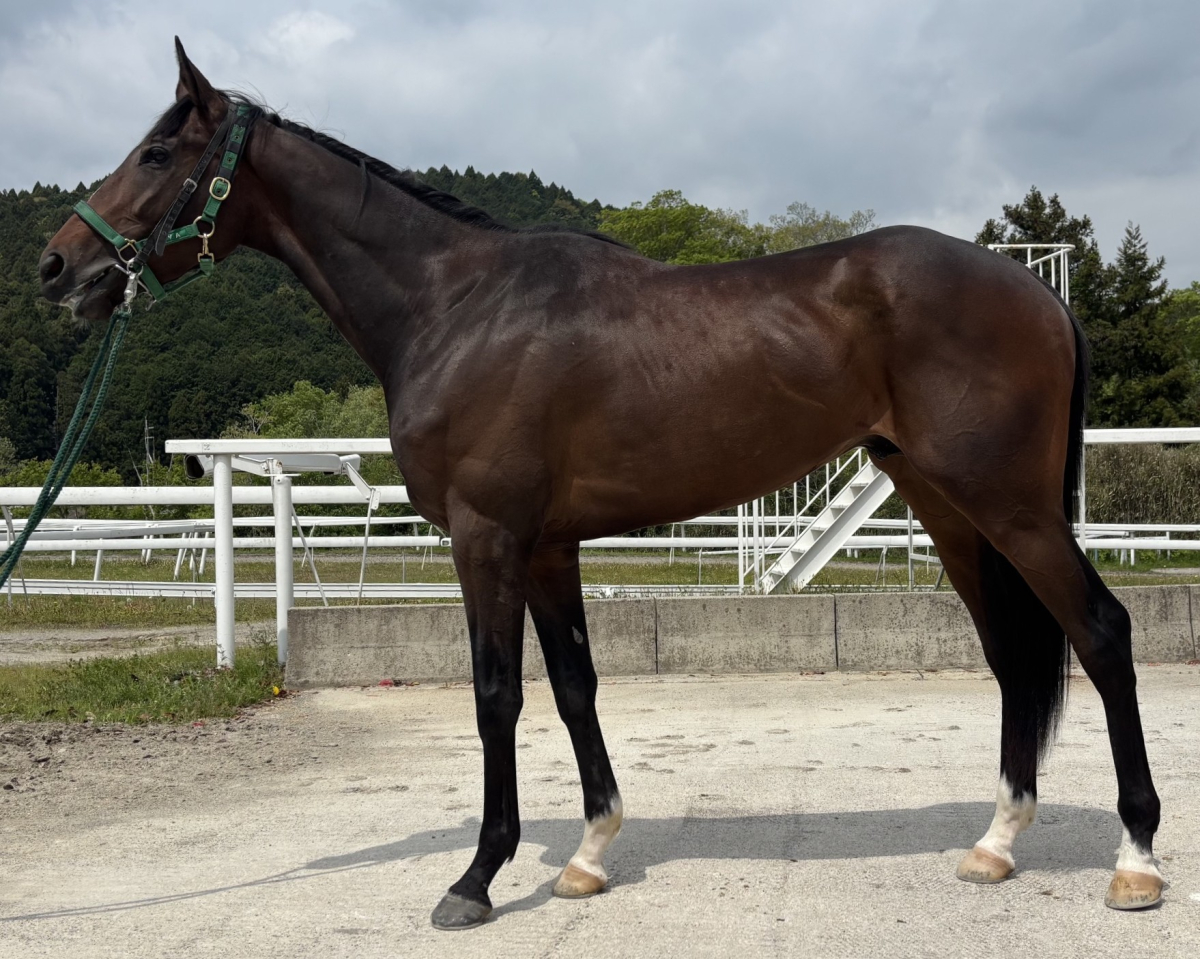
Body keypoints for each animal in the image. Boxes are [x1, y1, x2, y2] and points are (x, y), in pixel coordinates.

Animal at [37, 39, 1163, 928]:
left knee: (1101, 632)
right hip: (949, 507)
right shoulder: (546, 543)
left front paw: (477, 878)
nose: (55, 266)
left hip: (1010, 505)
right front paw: (586, 855)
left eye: (158, 152)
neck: (455, 305)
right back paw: (996, 842)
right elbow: (575, 684)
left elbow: (496, 693)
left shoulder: (486, 536)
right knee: (1015, 656)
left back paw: (1136, 859)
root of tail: (1035, 288)